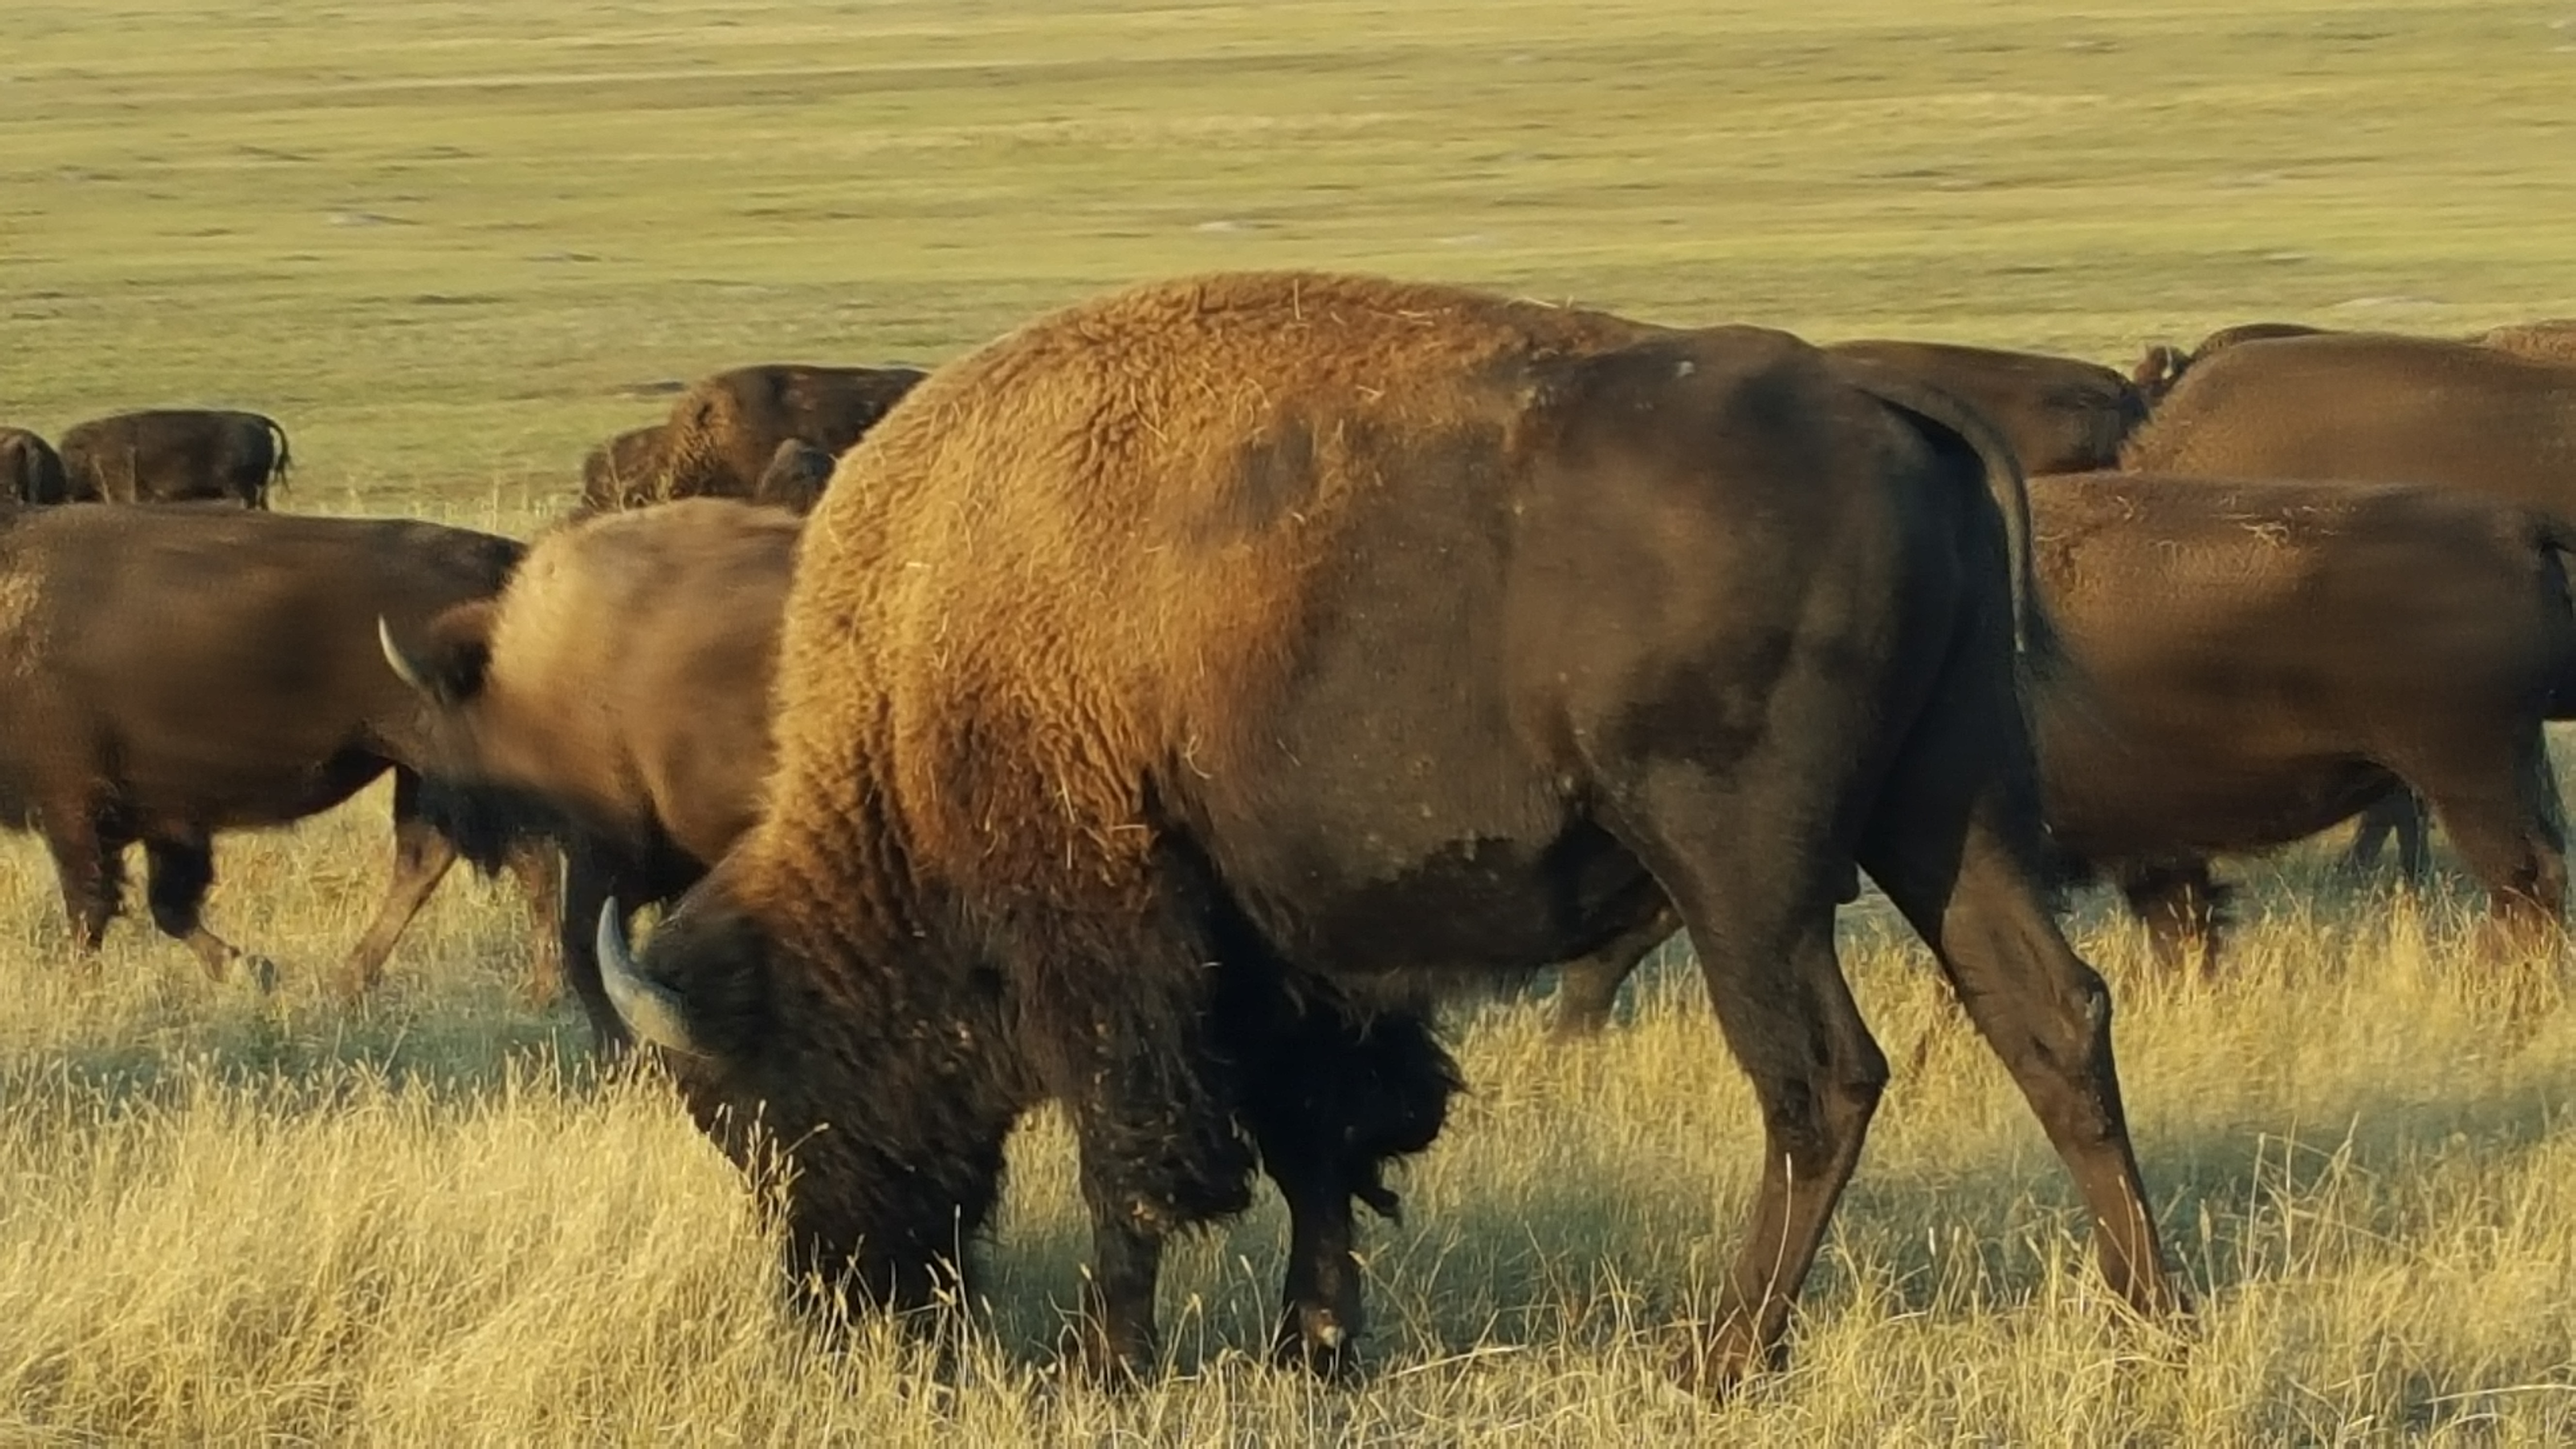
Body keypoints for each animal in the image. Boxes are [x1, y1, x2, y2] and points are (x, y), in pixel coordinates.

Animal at [2, 503, 557, 993]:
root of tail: (509, 562)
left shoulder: (73, 808)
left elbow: (91, 907)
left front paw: (81, 990)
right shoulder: (163, 817)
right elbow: (168, 906)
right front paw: (250, 970)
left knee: (528, 860)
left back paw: (543, 991)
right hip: (416, 768)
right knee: (427, 860)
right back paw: (349, 982)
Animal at [586, 270, 2180, 1395]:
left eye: (753, 1107)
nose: (848, 1306)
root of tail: (1879, 404)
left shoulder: (1109, 941)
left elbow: (1136, 1157)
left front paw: (1104, 1363)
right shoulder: (1292, 951)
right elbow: (1321, 1136)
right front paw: (1313, 1345)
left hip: (1743, 871)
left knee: (1819, 1076)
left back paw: (1721, 1356)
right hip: (1948, 810)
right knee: (2050, 1018)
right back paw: (2146, 1319)